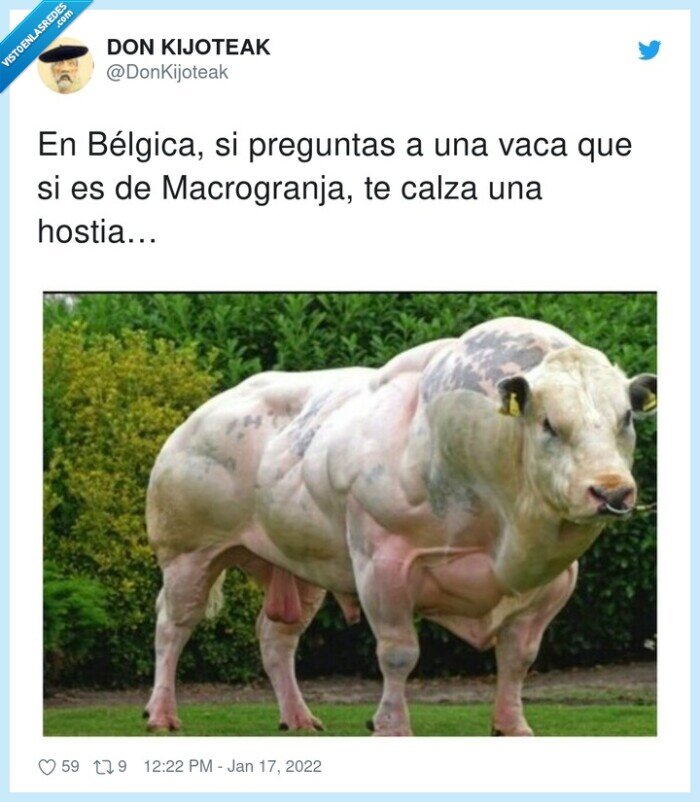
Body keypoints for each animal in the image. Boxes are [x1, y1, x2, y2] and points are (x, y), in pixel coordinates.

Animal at [144, 316, 656, 736]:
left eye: (625, 419)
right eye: (549, 423)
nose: (611, 492)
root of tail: (203, 412)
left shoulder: (555, 582)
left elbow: (518, 658)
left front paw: (512, 725)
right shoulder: (382, 563)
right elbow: (398, 653)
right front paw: (390, 724)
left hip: (302, 565)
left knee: (276, 638)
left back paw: (298, 716)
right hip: (188, 552)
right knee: (173, 625)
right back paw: (161, 713)